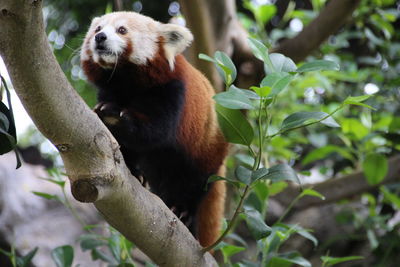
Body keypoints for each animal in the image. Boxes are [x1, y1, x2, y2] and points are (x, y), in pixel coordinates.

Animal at [80, 11, 228, 248]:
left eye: (122, 30)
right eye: (98, 28)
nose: (100, 37)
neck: (125, 80)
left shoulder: (171, 89)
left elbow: (153, 132)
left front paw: (115, 115)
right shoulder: (110, 90)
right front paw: (133, 170)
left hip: (205, 148)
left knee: (196, 182)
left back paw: (184, 211)